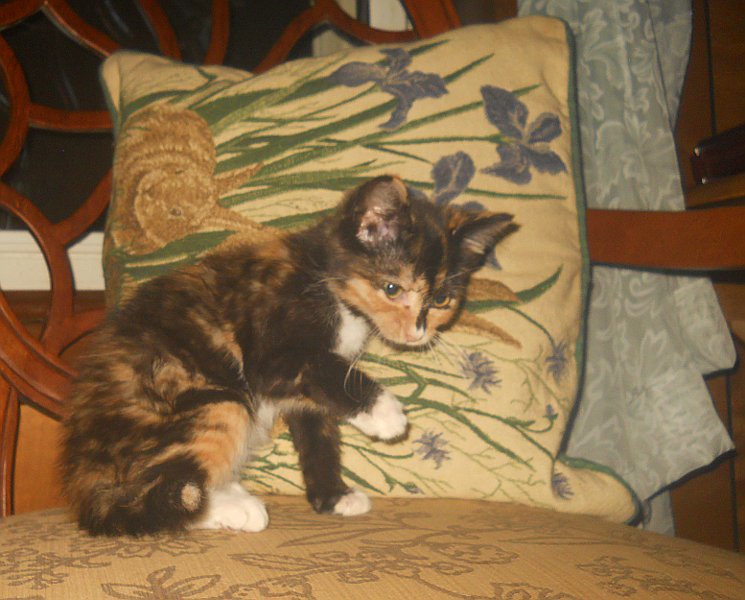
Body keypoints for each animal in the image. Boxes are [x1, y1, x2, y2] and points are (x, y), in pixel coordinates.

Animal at [61, 175, 517, 536]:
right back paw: (229, 508)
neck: (326, 281)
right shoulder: (271, 353)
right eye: (392, 288)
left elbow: (319, 433)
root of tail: (83, 478)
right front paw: (386, 414)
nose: (418, 331)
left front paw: (333, 496)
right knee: (147, 495)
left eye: (441, 300)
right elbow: (328, 367)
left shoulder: (304, 393)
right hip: (209, 396)